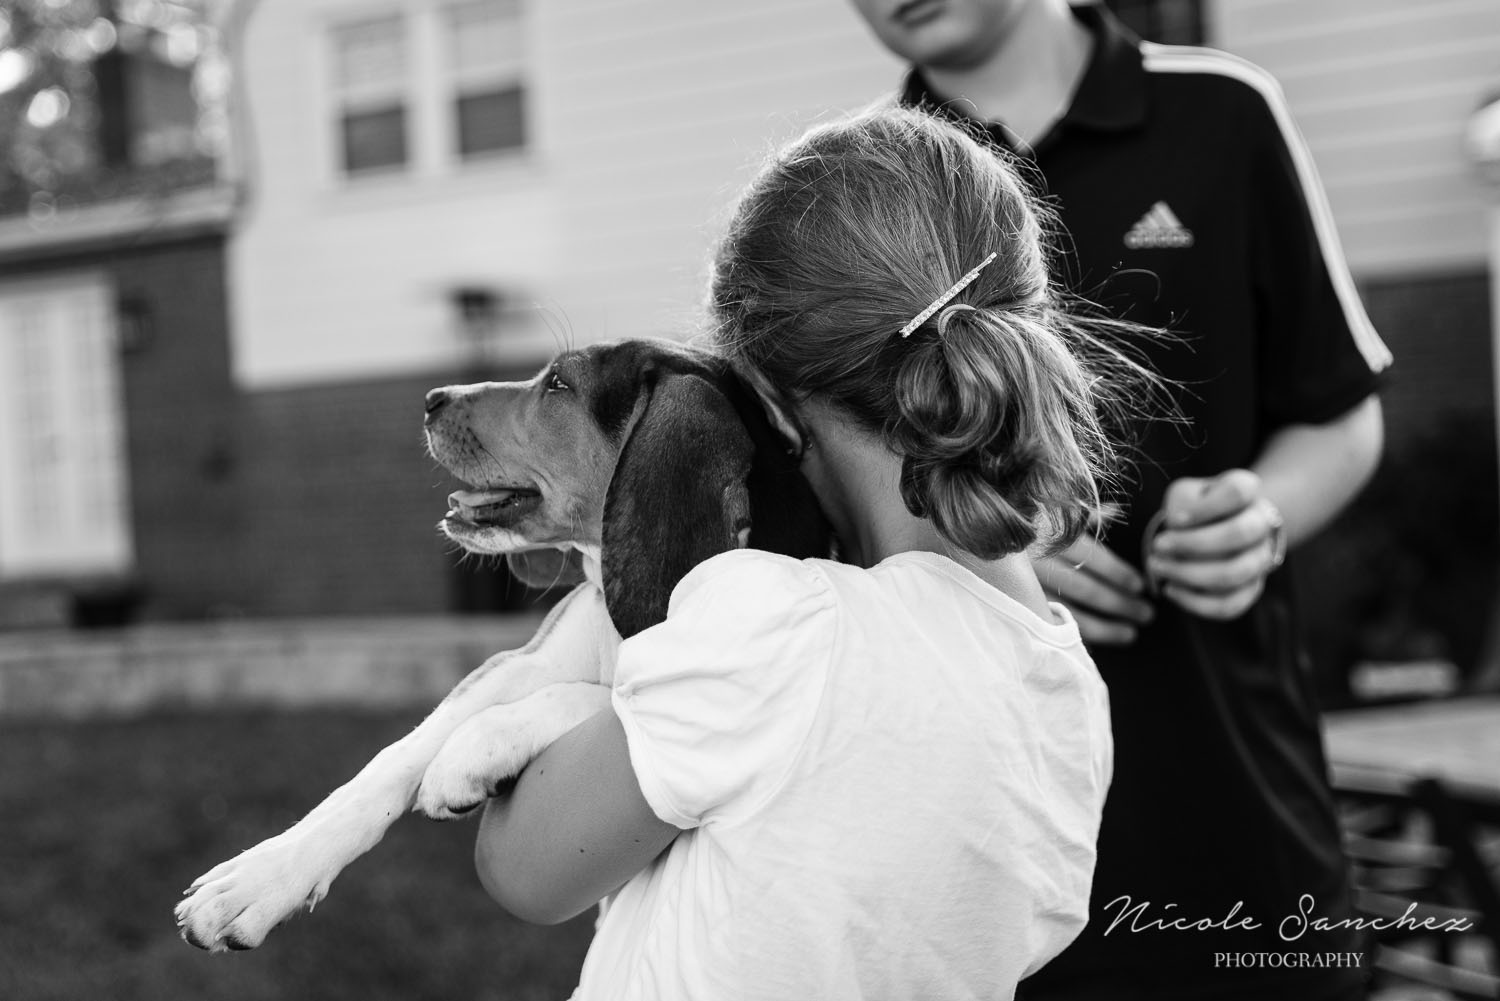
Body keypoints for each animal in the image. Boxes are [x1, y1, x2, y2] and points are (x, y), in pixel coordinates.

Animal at [180, 339, 834, 954]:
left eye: (559, 383)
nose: (432, 399)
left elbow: (598, 696)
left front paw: (475, 751)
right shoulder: (516, 664)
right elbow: (392, 760)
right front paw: (261, 880)